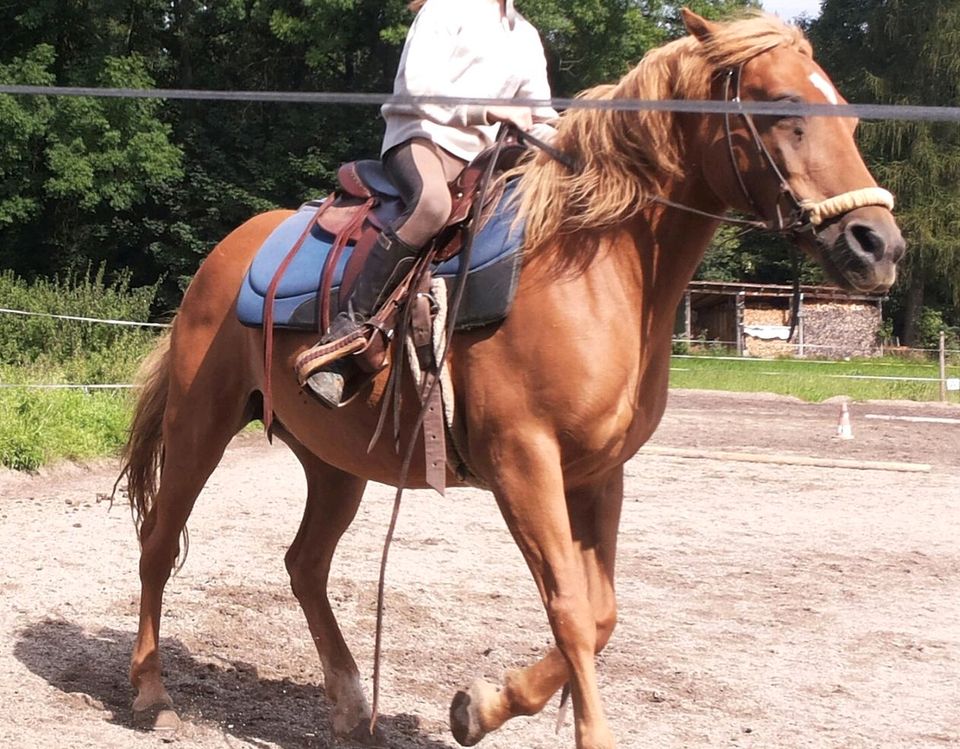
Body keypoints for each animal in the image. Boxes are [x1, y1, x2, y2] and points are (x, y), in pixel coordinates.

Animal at [122, 8, 908, 744]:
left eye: (849, 115)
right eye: (780, 106)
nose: (878, 244)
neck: (596, 267)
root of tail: (227, 254)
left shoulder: (598, 472)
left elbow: (600, 613)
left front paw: (477, 706)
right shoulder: (523, 461)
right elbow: (569, 608)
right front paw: (552, 723)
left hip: (335, 460)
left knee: (305, 563)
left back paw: (348, 705)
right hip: (201, 425)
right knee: (159, 541)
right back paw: (152, 695)